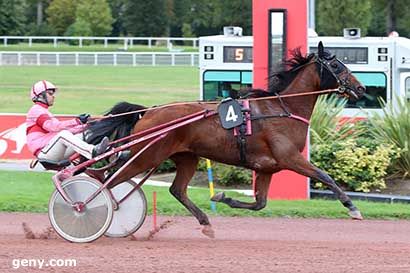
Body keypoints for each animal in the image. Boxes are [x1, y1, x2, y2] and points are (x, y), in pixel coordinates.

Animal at [85, 42, 366, 236]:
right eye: (337, 65)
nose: (360, 88)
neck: (282, 108)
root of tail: (149, 111)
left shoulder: (267, 167)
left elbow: (260, 203)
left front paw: (222, 198)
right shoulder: (289, 158)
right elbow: (324, 176)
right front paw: (352, 207)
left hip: (185, 157)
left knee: (176, 189)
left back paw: (205, 222)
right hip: (147, 156)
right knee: (107, 180)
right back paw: (90, 208)